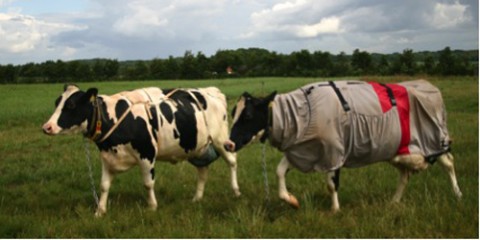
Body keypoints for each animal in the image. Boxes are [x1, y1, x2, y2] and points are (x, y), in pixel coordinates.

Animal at [43, 84, 240, 216]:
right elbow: (104, 185)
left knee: (232, 162)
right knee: (203, 171)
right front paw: (100, 211)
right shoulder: (107, 158)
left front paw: (152, 207)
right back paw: (197, 198)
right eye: (57, 102)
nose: (47, 127)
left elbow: (148, 183)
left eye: (71, 105)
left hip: (221, 140)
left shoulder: (147, 154)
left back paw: (236, 191)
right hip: (198, 148)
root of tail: (212, 90)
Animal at [227, 80, 464, 210]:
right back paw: (394, 202)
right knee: (404, 175)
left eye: (247, 115)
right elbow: (279, 171)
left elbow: (332, 184)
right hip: (396, 150)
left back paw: (458, 194)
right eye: (232, 113)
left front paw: (335, 210)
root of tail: (428, 85)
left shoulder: (334, 152)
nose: (228, 143)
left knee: (449, 163)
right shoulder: (303, 151)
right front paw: (291, 200)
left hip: (434, 140)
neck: (302, 113)